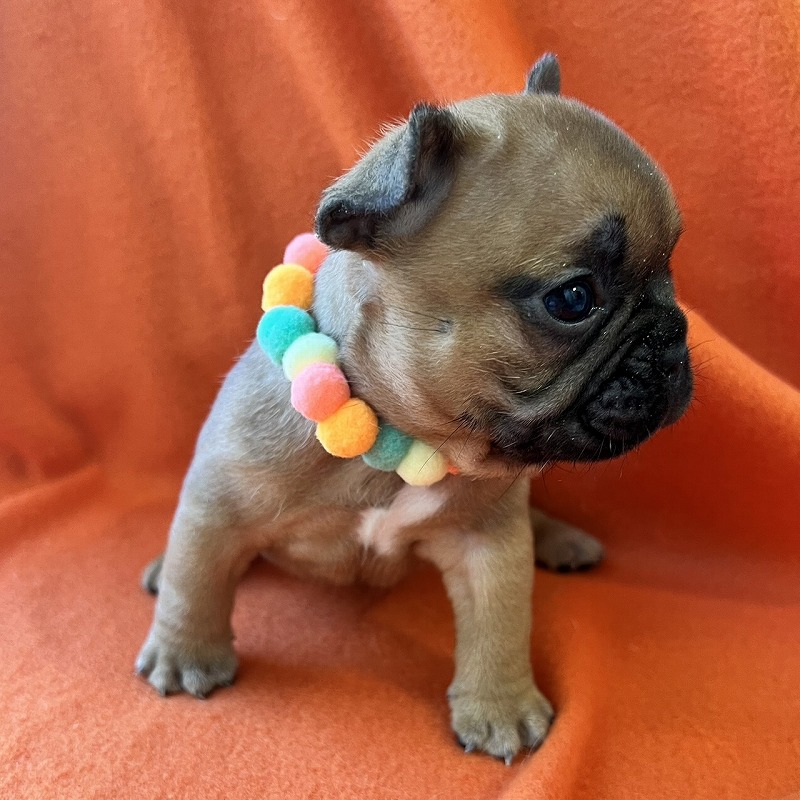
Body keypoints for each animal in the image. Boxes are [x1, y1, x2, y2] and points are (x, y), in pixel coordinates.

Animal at [136, 54, 692, 764]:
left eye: (671, 269)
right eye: (573, 299)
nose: (672, 334)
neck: (395, 437)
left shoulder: (489, 542)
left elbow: (499, 625)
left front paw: (500, 707)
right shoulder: (222, 492)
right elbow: (197, 572)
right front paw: (185, 653)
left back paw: (560, 540)